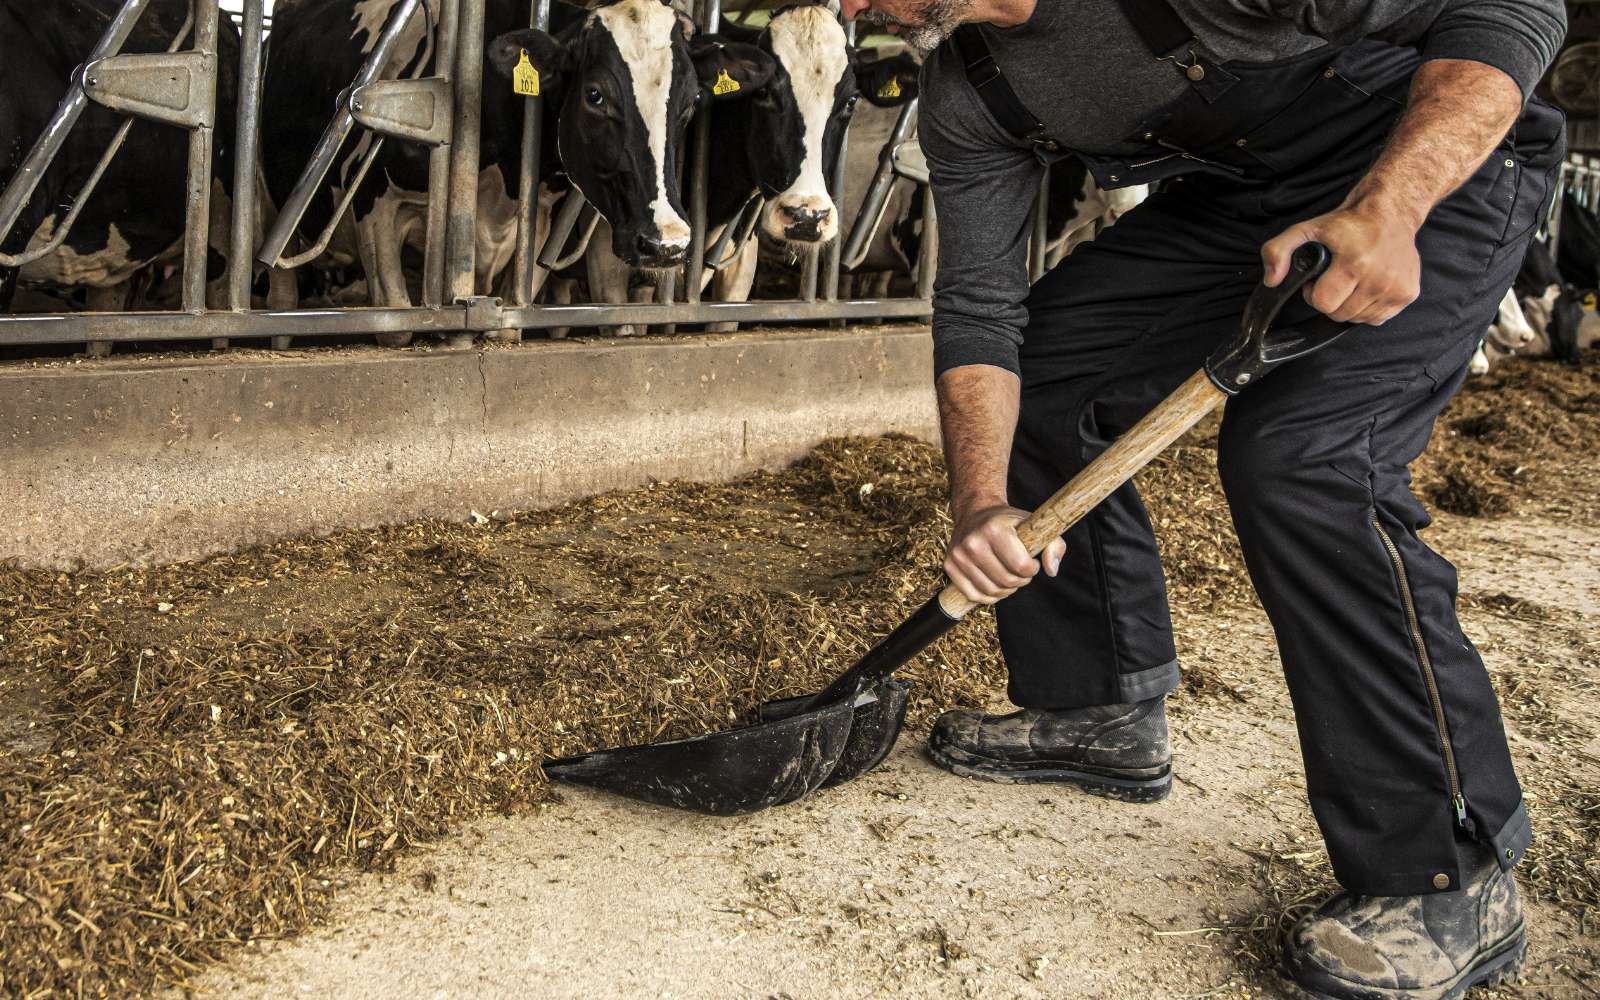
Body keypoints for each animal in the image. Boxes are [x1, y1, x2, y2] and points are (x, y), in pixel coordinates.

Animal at [264, 0, 742, 342]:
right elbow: (397, 325)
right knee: (281, 286)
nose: (666, 243)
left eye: (691, 102)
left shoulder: (538, 222)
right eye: (595, 95)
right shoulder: (377, 206)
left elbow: (510, 324)